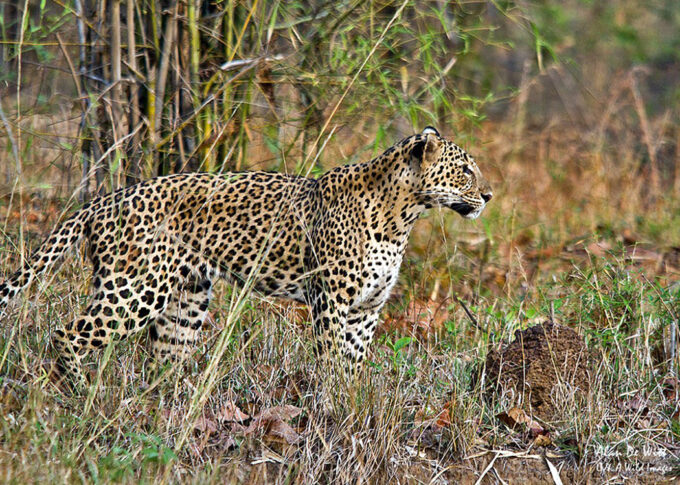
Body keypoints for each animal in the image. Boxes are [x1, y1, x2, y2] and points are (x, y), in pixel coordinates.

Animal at [0, 126, 492, 387]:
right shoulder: (331, 303)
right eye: (465, 170)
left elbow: (353, 363)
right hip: (135, 289)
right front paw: (332, 405)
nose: (488, 196)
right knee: (66, 333)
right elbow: (332, 360)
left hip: (185, 301)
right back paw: (80, 392)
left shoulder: (367, 309)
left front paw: (352, 404)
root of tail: (102, 200)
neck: (402, 217)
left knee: (164, 358)